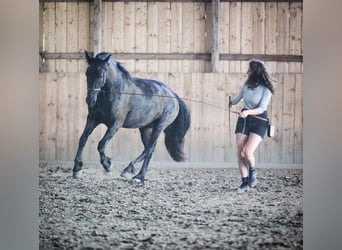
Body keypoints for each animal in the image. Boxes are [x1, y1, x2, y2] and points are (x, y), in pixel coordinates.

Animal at [73, 51, 191, 184]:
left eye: (100, 75)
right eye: (87, 73)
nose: (90, 101)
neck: (114, 92)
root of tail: (174, 95)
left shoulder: (115, 124)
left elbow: (101, 144)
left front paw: (108, 165)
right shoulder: (93, 119)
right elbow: (82, 139)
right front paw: (77, 169)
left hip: (159, 127)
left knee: (149, 150)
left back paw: (139, 177)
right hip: (145, 128)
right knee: (149, 149)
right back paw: (128, 169)